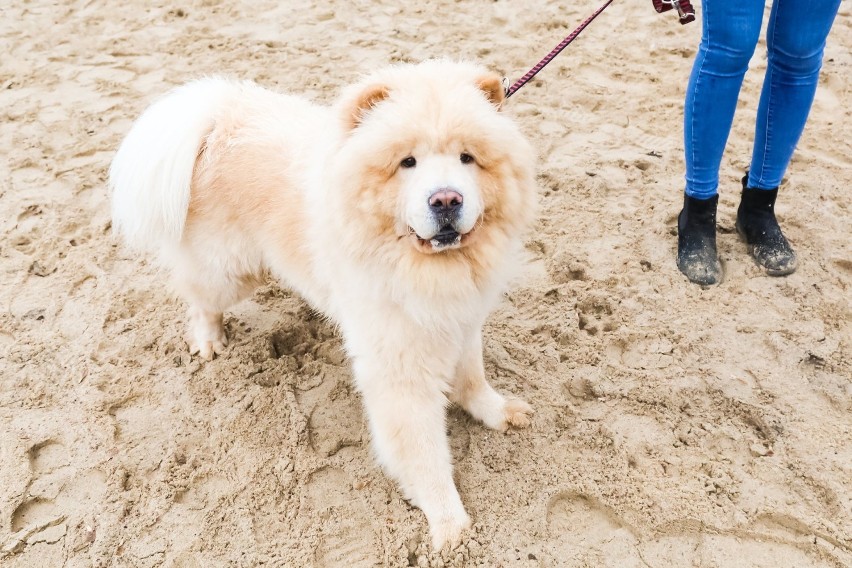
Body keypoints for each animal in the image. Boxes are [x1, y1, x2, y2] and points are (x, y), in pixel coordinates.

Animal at [110, 60, 540, 548]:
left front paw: (498, 412)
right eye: (407, 163)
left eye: (468, 158)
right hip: (230, 272)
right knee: (199, 297)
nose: (446, 198)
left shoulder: (462, 321)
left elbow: (472, 378)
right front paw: (450, 525)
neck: (429, 266)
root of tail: (217, 119)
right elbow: (424, 452)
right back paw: (208, 340)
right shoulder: (399, 369)